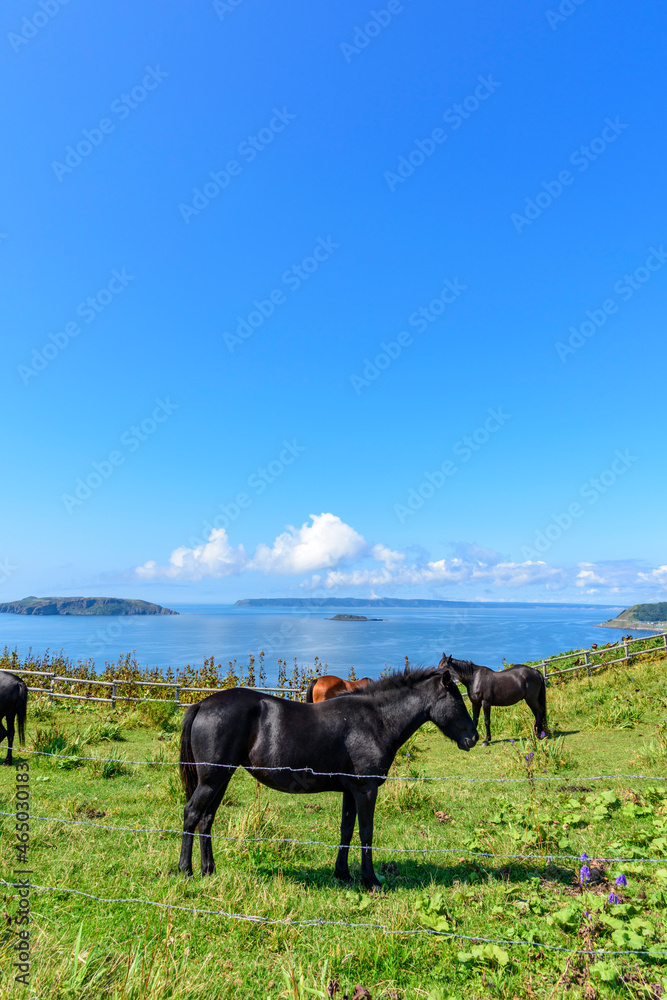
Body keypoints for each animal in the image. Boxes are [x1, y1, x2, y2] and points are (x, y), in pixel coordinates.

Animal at [179, 666, 478, 889]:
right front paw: (370, 880)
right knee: (192, 814)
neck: (376, 720)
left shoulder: (351, 791)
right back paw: (186, 870)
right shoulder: (366, 790)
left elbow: (346, 830)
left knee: (206, 819)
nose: (473, 738)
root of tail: (202, 704)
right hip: (212, 780)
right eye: (457, 699)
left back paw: (208, 869)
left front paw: (343, 873)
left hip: (221, 779)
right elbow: (366, 832)